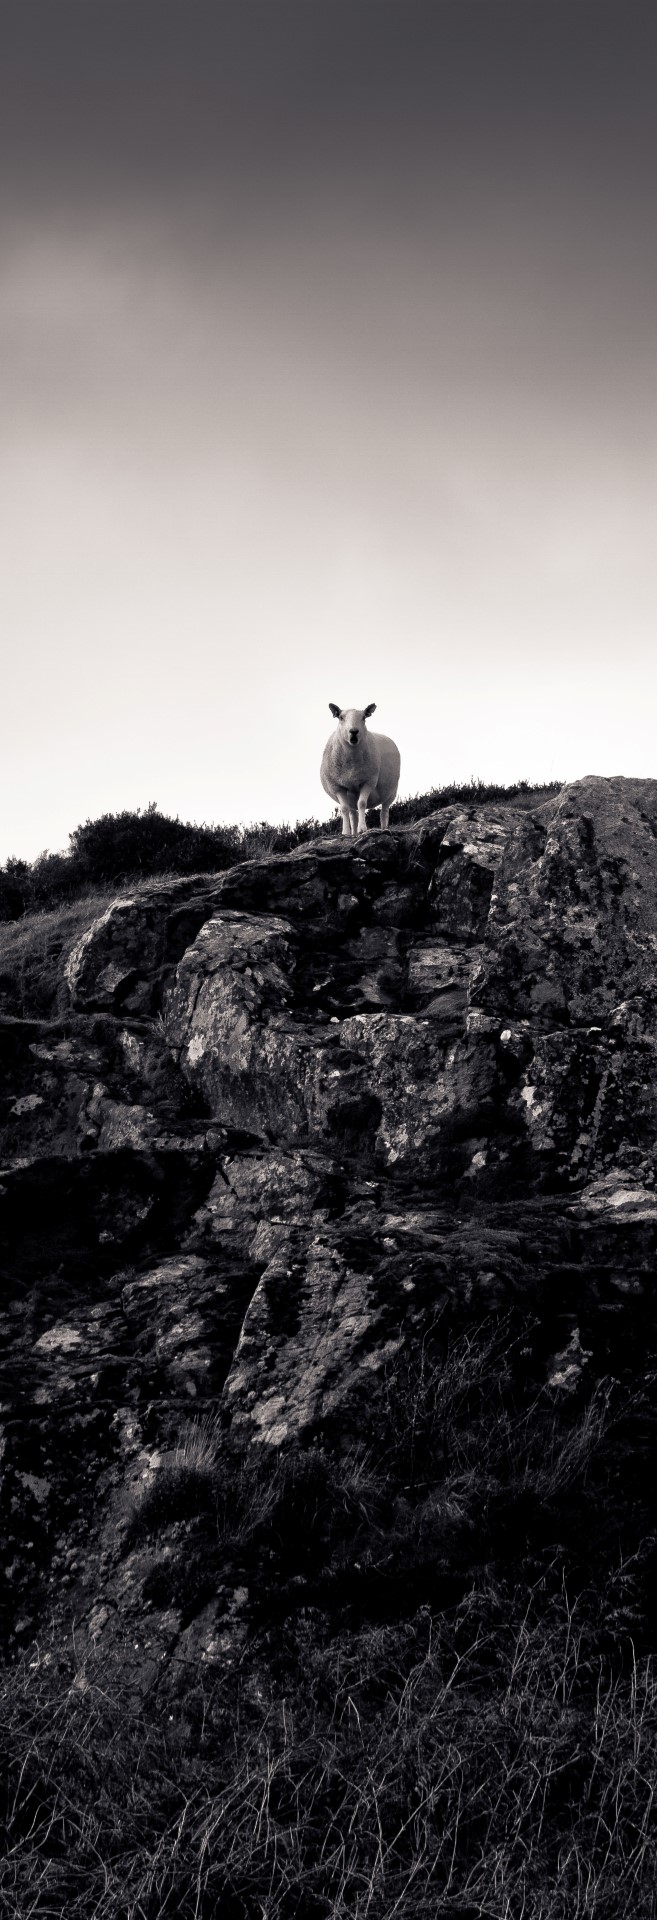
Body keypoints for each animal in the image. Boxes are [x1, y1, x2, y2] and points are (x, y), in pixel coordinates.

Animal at [320, 703, 401, 836]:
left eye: (363, 717)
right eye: (341, 717)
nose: (353, 731)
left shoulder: (368, 782)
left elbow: (362, 803)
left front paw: (362, 829)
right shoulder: (338, 787)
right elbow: (344, 809)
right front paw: (345, 832)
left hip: (391, 792)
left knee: (384, 810)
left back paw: (384, 829)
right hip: (350, 796)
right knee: (353, 814)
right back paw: (353, 833)